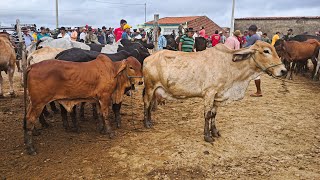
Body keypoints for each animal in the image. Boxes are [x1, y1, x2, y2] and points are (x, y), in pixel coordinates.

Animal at [143, 40, 288, 143]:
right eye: (266, 51)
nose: (283, 71)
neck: (229, 65)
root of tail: (148, 58)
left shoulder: (218, 95)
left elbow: (214, 114)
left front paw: (215, 132)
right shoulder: (209, 93)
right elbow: (207, 115)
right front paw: (207, 136)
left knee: (150, 104)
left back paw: (150, 121)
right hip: (150, 87)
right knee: (147, 104)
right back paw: (146, 123)